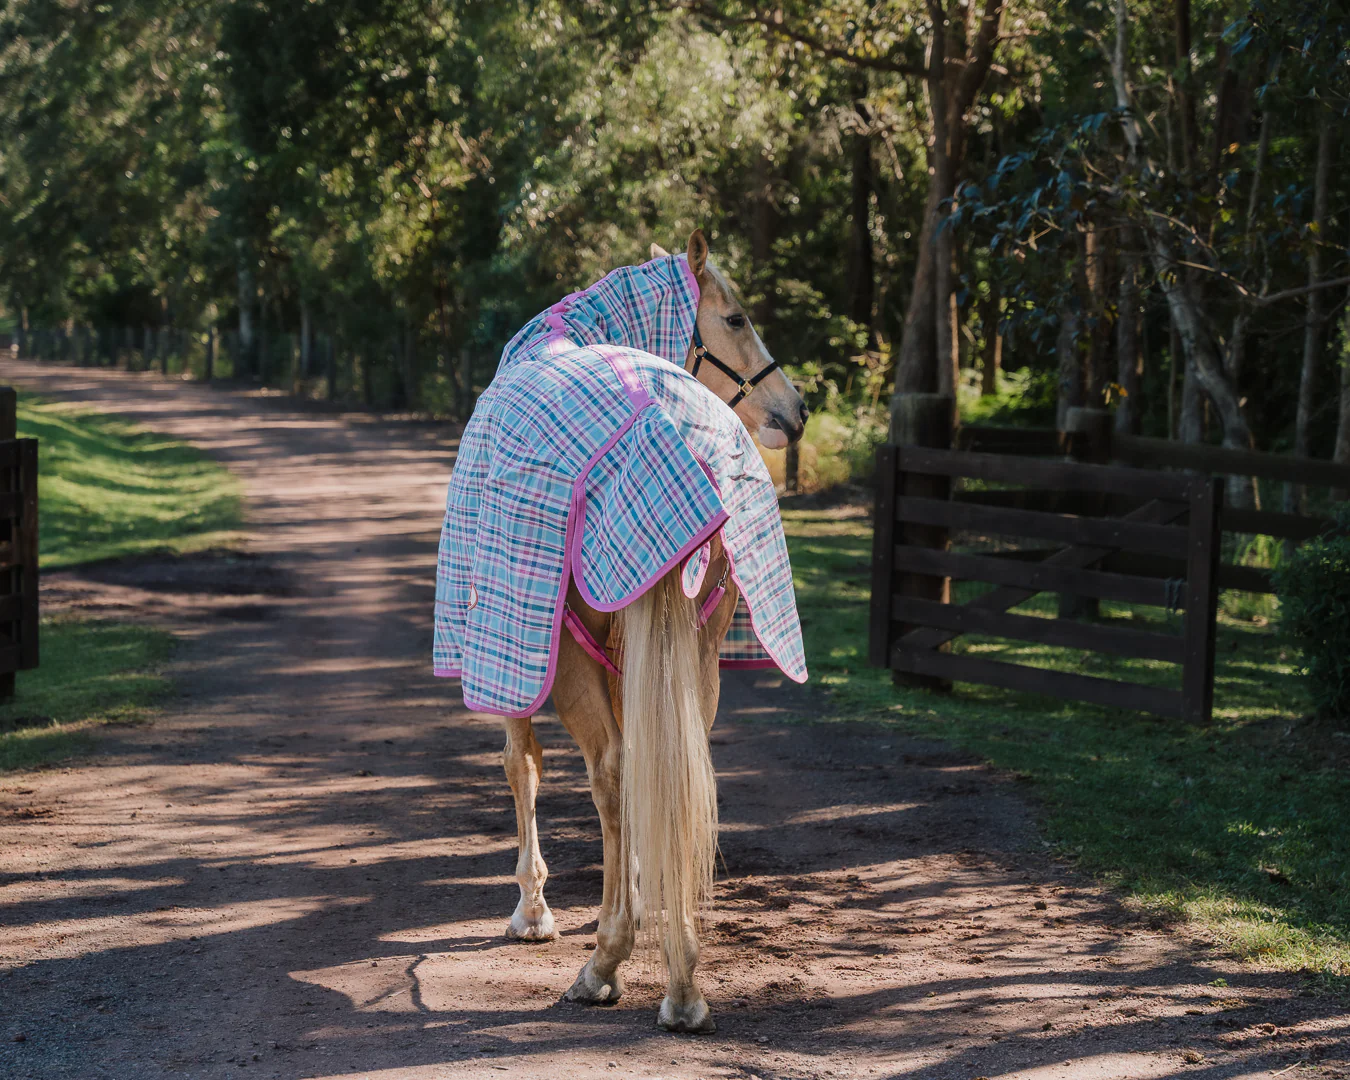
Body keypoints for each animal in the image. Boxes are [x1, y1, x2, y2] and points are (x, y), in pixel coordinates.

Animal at [436, 230, 807, 1033]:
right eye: (735, 318)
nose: (797, 409)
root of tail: (662, 428)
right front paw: (637, 896)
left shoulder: (522, 650)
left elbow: (523, 765)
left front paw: (534, 910)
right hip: (693, 652)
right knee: (671, 767)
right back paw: (683, 983)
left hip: (570, 654)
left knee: (608, 771)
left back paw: (604, 964)